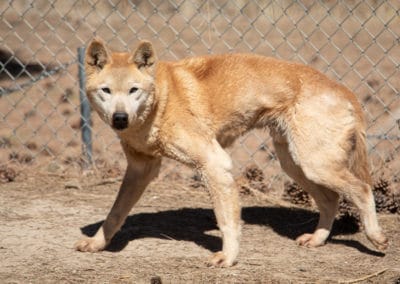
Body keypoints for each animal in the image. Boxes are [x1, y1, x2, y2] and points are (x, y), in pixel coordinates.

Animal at [74, 37, 388, 266]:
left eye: (133, 90)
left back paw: (375, 236)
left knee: (361, 190)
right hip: (296, 165)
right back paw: (317, 239)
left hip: (314, 165)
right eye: (106, 91)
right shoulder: (141, 170)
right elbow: (115, 213)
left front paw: (228, 257)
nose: (120, 119)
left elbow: (227, 221)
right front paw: (97, 243)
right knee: (331, 200)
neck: (161, 100)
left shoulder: (214, 163)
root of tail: (345, 90)